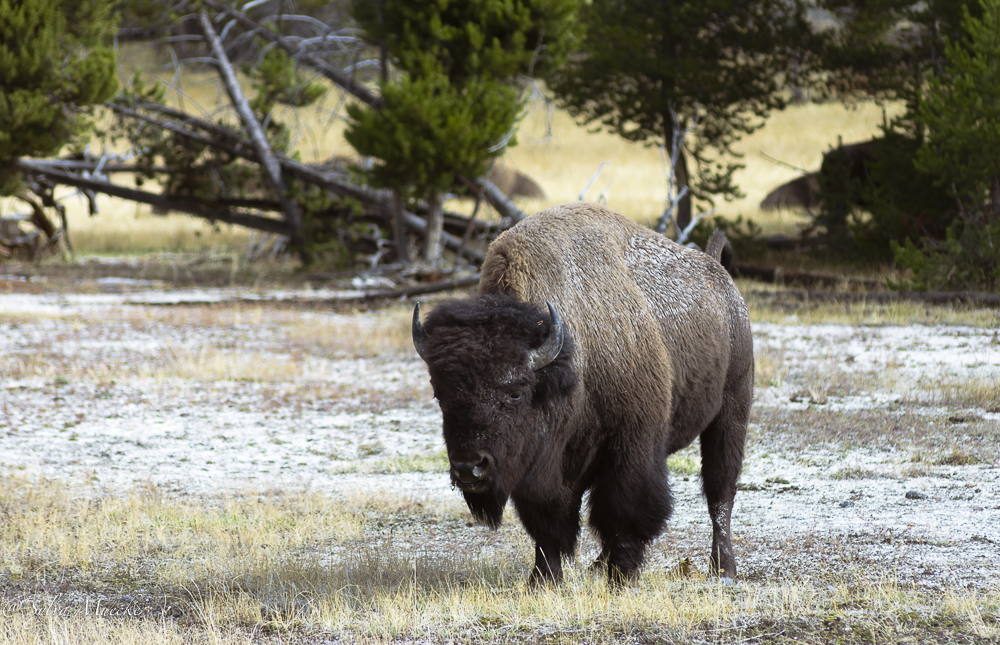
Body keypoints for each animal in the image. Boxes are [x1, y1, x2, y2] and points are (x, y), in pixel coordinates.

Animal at [412, 204, 752, 588]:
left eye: (515, 392)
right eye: (439, 393)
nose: (469, 468)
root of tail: (721, 276)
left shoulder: (631, 448)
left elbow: (624, 511)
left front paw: (622, 577)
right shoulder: (546, 469)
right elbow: (549, 524)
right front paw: (543, 580)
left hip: (731, 412)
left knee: (720, 491)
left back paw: (723, 569)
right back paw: (599, 565)